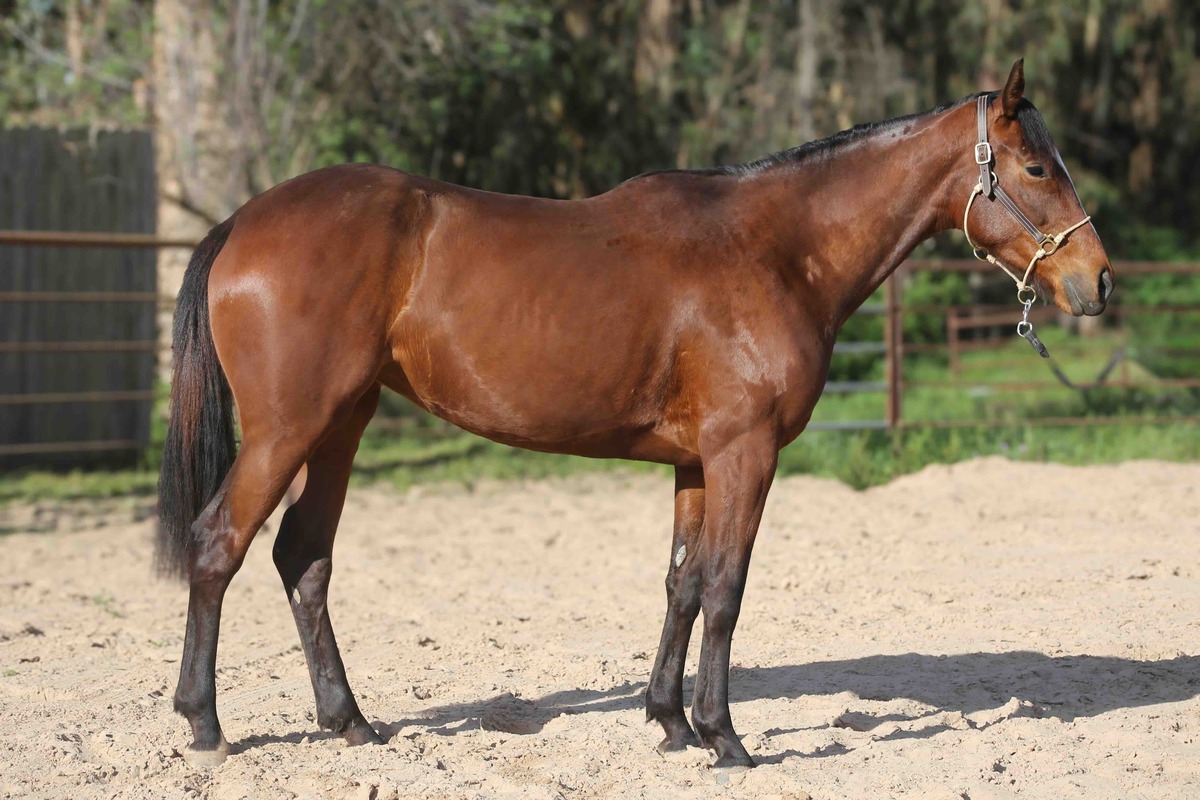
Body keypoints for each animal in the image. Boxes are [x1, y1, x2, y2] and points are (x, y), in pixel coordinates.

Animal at [157, 59, 1112, 770]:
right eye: (1037, 168)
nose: (1098, 280)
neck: (775, 250)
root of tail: (244, 221)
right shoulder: (744, 453)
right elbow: (725, 588)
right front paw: (725, 738)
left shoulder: (696, 462)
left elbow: (682, 586)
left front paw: (669, 722)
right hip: (288, 431)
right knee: (219, 546)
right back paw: (205, 726)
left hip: (340, 428)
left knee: (303, 559)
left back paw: (349, 721)